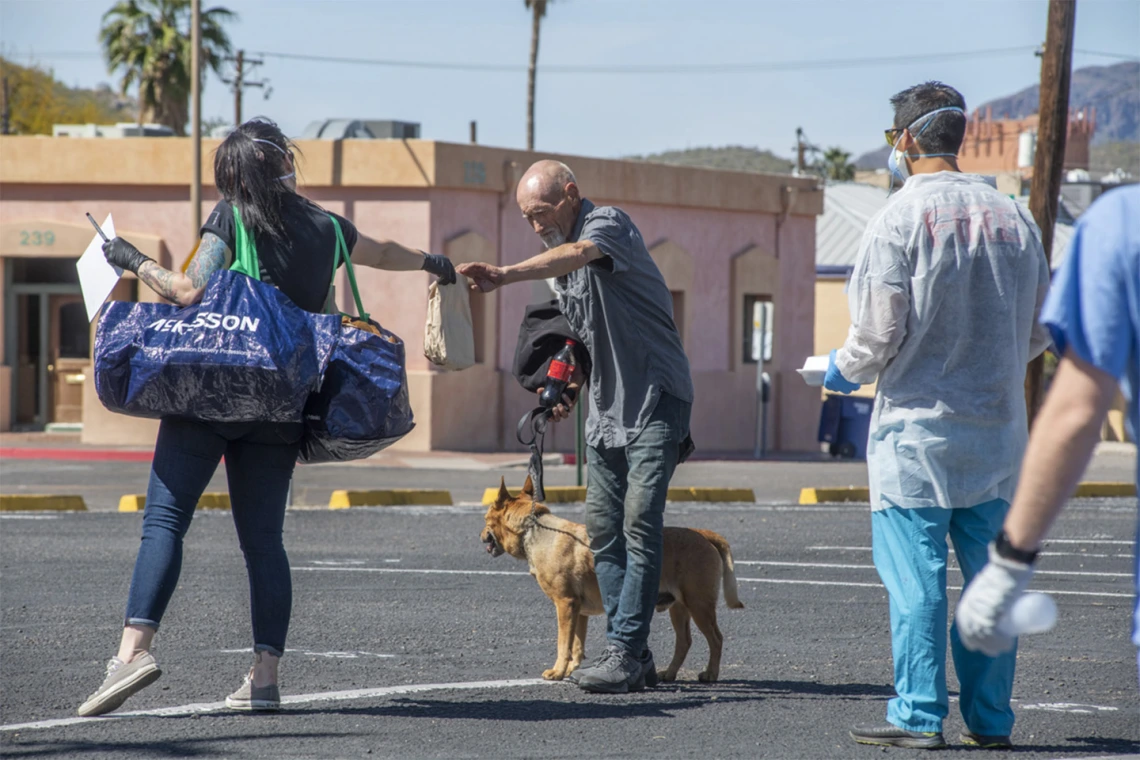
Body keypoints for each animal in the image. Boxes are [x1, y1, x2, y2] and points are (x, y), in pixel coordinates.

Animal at [478, 476, 738, 683]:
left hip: (699, 604)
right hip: (680, 608)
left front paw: (558, 671)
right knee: (684, 641)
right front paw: (571, 670)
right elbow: (576, 645)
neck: (534, 531)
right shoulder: (578, 611)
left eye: (485, 519)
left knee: (716, 639)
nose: (480, 536)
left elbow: (563, 644)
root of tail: (704, 534)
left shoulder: (565, 604)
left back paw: (711, 673)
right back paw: (669, 673)